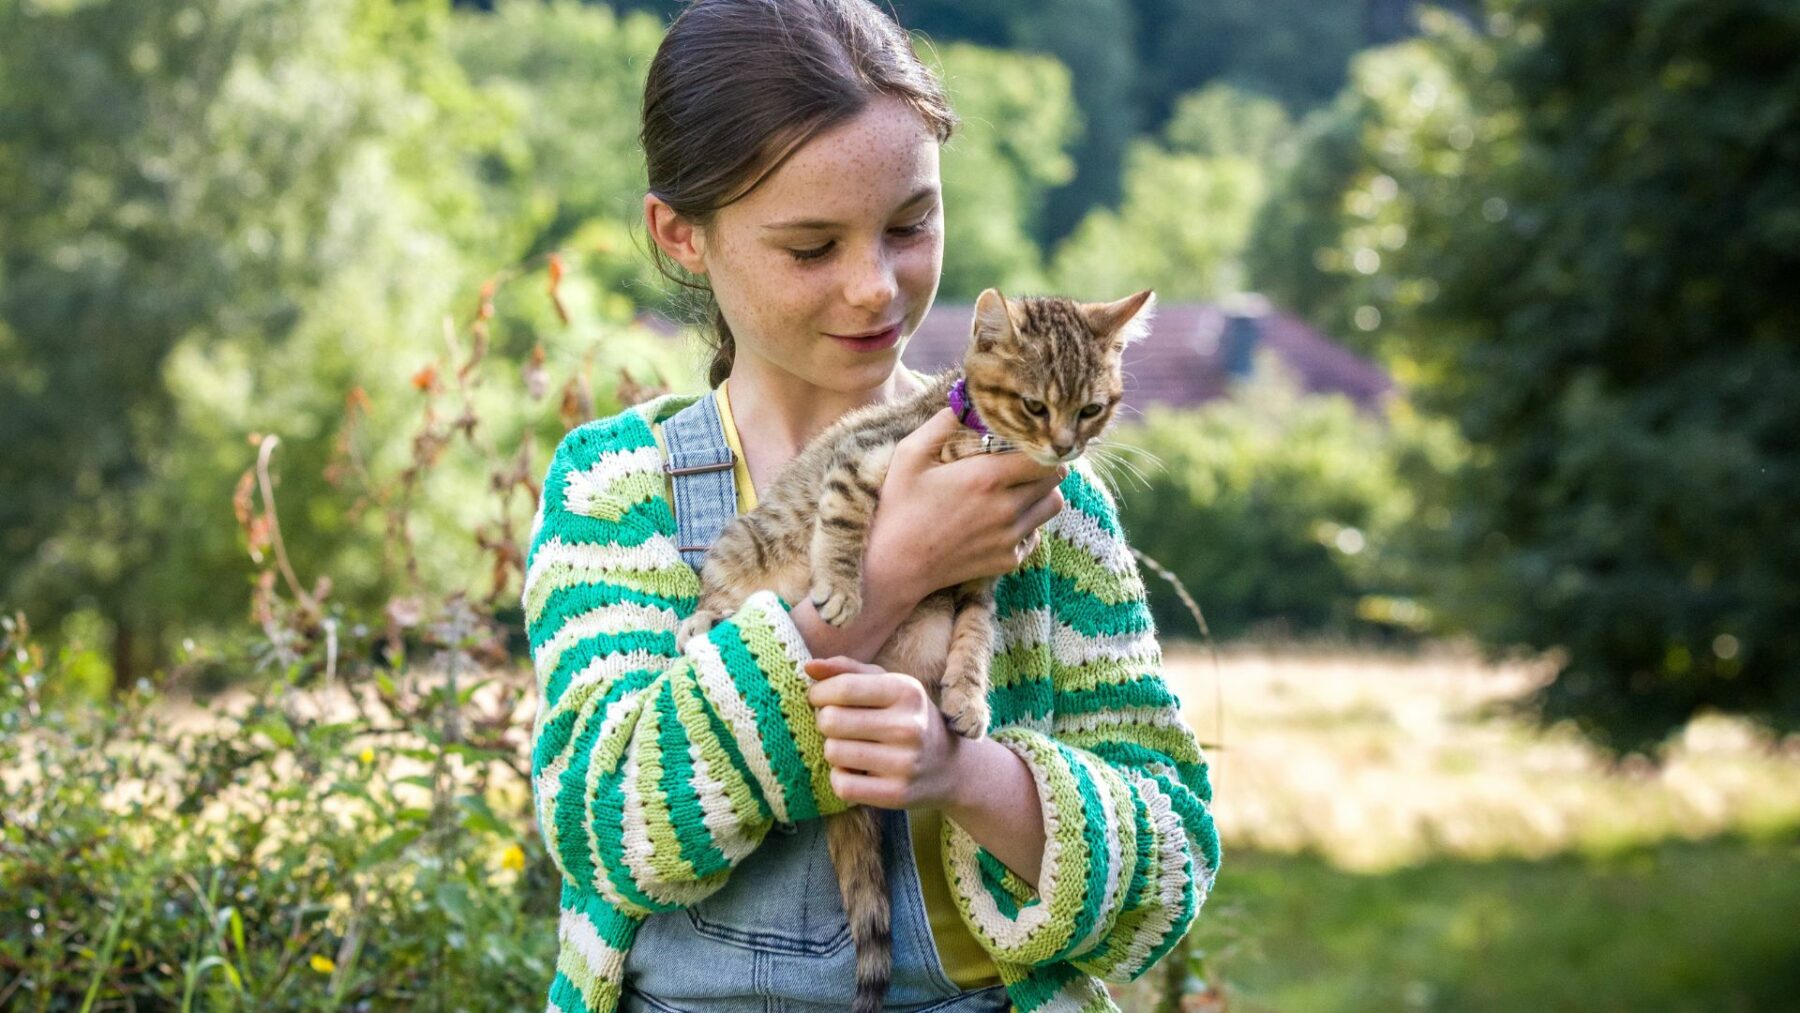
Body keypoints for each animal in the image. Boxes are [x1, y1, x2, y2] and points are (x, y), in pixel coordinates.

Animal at [673, 284, 1152, 1013]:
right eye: (1035, 405)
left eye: (1091, 408)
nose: (1066, 446)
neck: (982, 445)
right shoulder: (863, 459)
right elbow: (844, 520)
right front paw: (842, 587)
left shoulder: (979, 582)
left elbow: (976, 637)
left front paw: (968, 697)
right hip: (743, 547)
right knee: (719, 591)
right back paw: (705, 622)